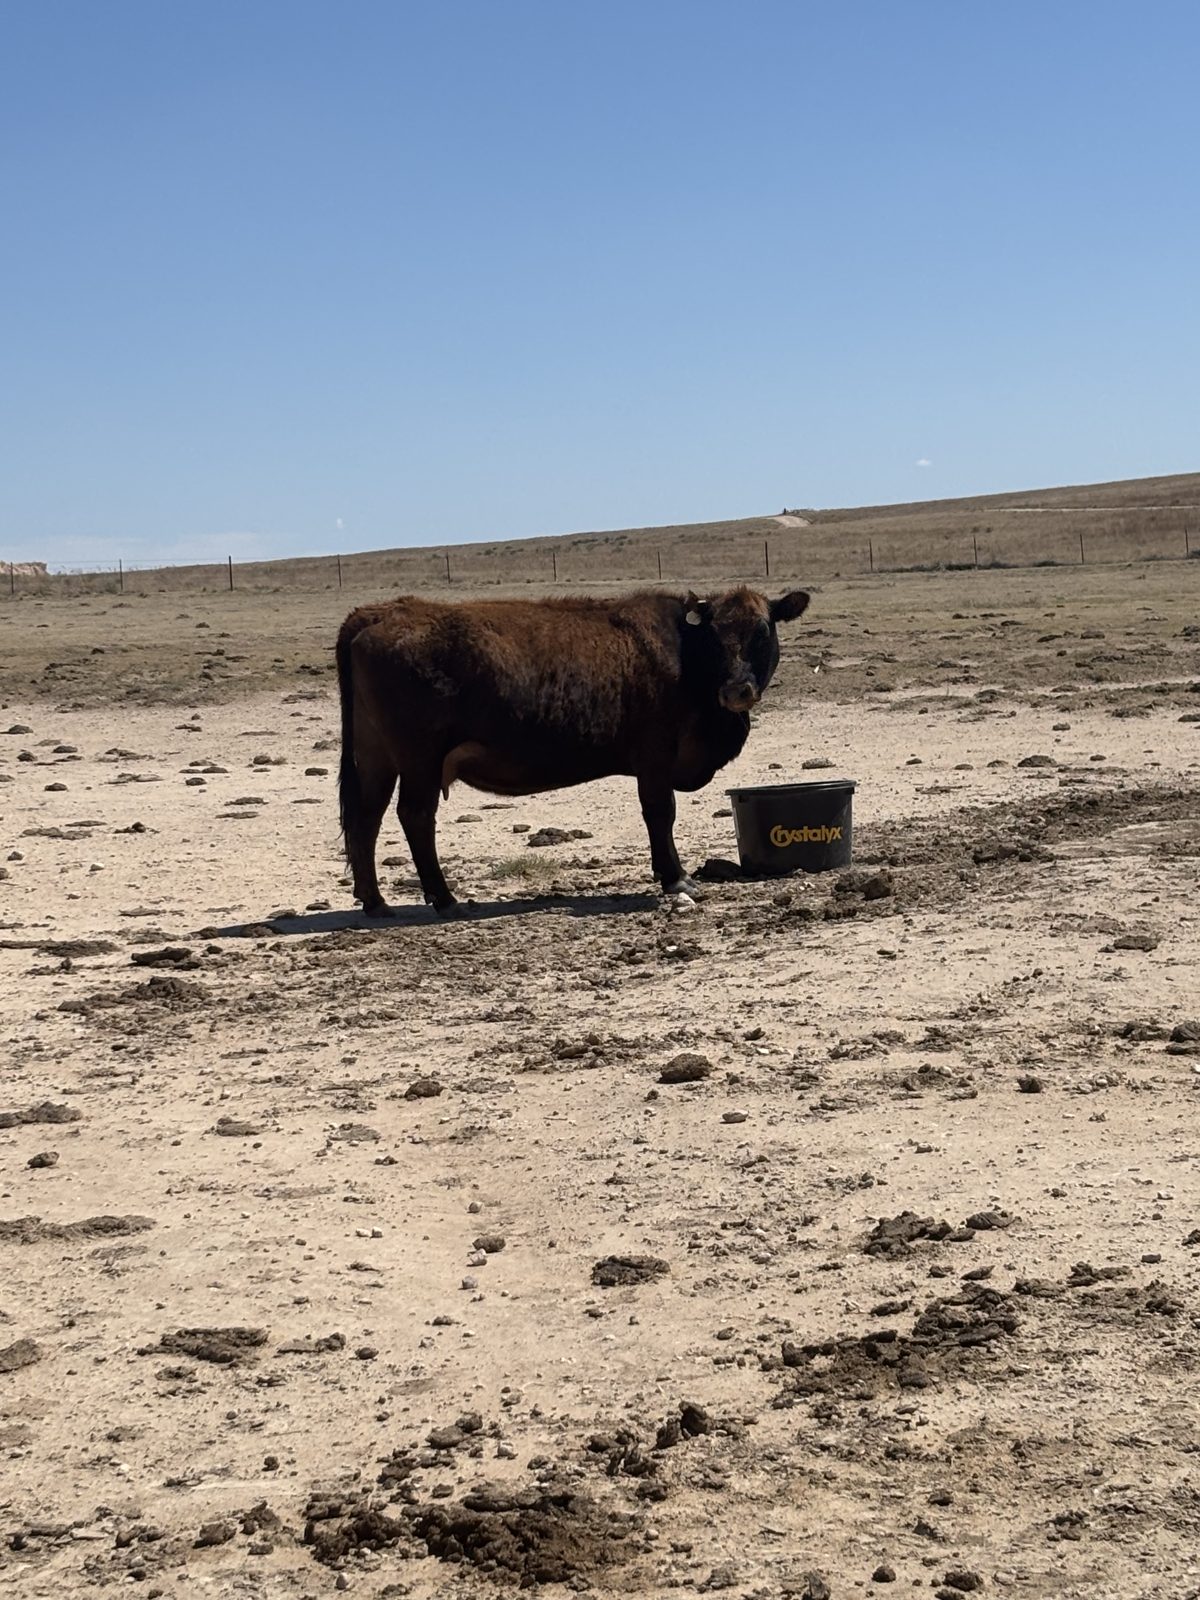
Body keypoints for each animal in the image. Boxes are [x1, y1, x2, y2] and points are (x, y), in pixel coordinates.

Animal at [335, 585, 810, 915]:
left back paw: (375, 901)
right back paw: (443, 897)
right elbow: (660, 813)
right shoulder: (654, 756)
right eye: (714, 636)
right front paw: (675, 878)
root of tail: (380, 612)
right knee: (415, 816)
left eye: (762, 631)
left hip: (376, 759)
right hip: (419, 760)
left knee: (366, 818)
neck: (685, 656)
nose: (736, 690)